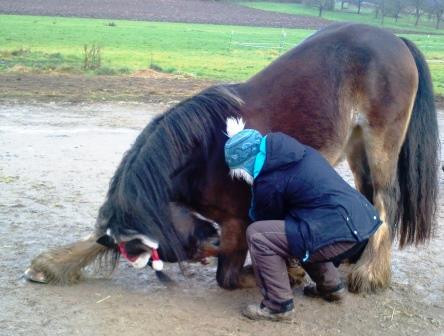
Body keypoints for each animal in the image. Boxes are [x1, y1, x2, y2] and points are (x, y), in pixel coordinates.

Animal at [26, 22, 438, 292]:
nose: (204, 238)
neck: (205, 154)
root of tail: (396, 39)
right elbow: (98, 237)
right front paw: (53, 264)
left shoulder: (237, 221)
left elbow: (228, 270)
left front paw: (288, 271)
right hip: (356, 145)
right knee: (367, 196)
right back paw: (356, 259)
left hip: (381, 140)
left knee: (385, 198)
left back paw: (369, 274)